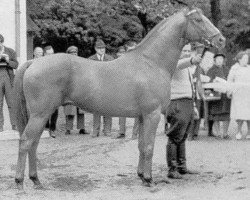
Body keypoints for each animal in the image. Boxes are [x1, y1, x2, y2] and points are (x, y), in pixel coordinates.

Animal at [12, 5, 226, 189]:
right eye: (198, 20)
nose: (221, 40)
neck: (151, 63)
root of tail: (33, 62)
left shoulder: (142, 117)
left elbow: (141, 146)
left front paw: (141, 176)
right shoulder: (152, 114)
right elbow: (149, 146)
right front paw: (149, 180)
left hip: (40, 115)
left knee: (34, 143)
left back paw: (36, 180)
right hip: (40, 114)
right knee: (26, 142)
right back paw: (20, 182)